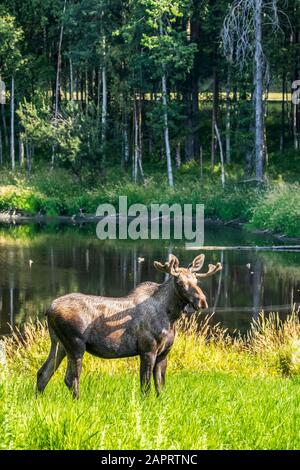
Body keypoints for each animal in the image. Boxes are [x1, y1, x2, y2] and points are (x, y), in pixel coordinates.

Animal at [36, 255, 221, 398]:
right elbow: (145, 385)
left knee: (43, 372)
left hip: (59, 343)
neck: (171, 317)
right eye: (180, 283)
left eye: (196, 280)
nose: (202, 301)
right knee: (71, 378)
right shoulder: (147, 349)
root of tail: (49, 309)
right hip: (75, 344)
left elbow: (160, 386)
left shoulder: (164, 353)